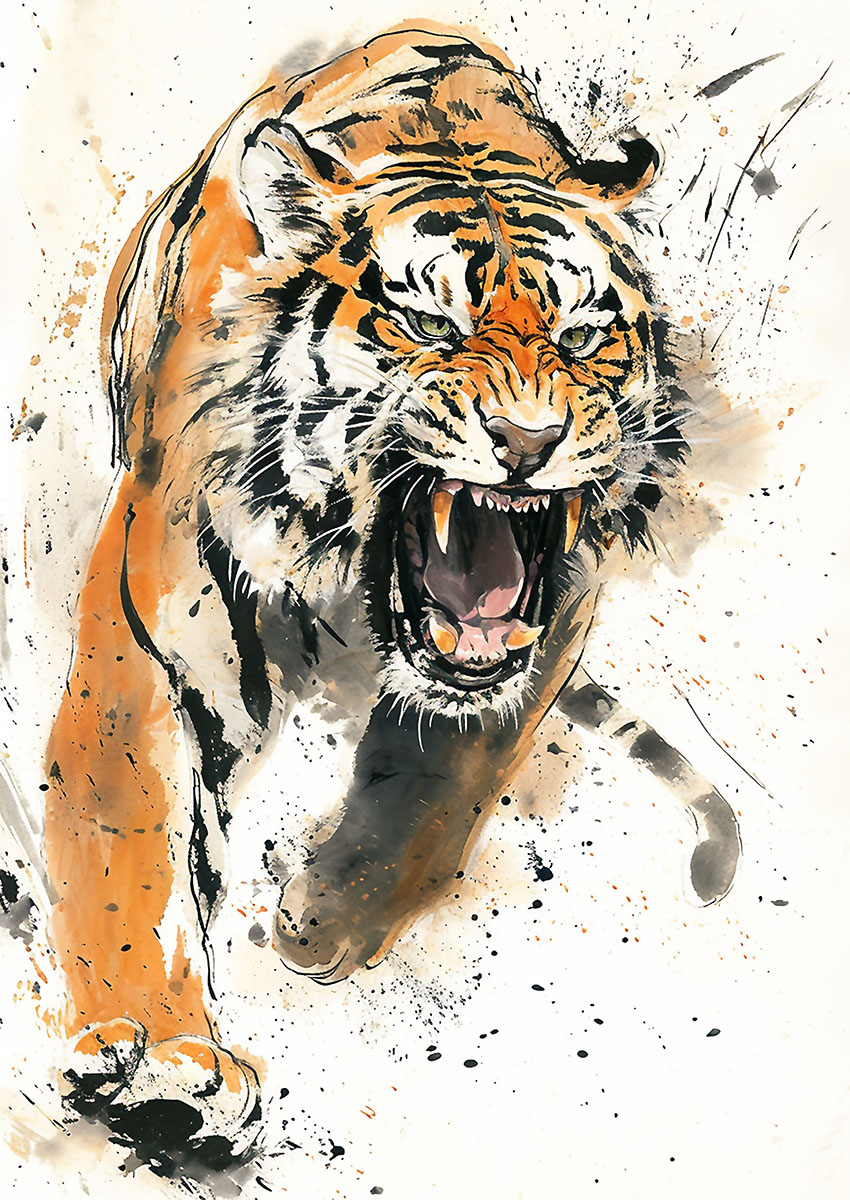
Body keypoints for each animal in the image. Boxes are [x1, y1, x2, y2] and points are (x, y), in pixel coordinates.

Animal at [44, 21, 741, 1167]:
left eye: (581, 338)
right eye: (428, 326)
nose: (528, 441)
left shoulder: (552, 615)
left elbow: (436, 778)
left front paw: (324, 918)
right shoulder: (162, 623)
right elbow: (130, 833)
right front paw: (161, 1057)